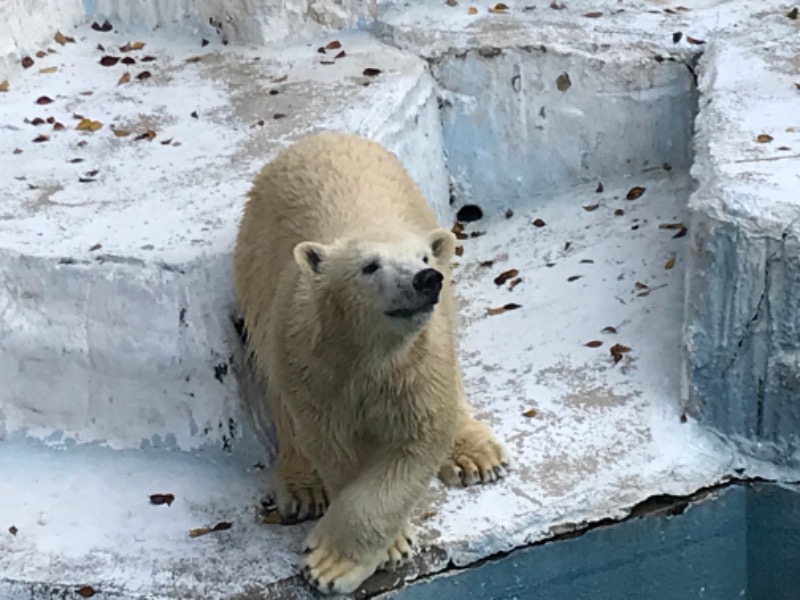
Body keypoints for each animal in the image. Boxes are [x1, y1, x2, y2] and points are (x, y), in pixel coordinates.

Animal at [233, 131, 506, 596]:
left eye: (423, 259)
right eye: (369, 266)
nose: (425, 279)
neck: (368, 352)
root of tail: (319, 136)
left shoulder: (418, 367)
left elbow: (416, 443)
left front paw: (333, 563)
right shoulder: (314, 366)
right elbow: (335, 447)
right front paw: (374, 549)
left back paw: (475, 455)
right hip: (255, 267)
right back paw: (303, 489)